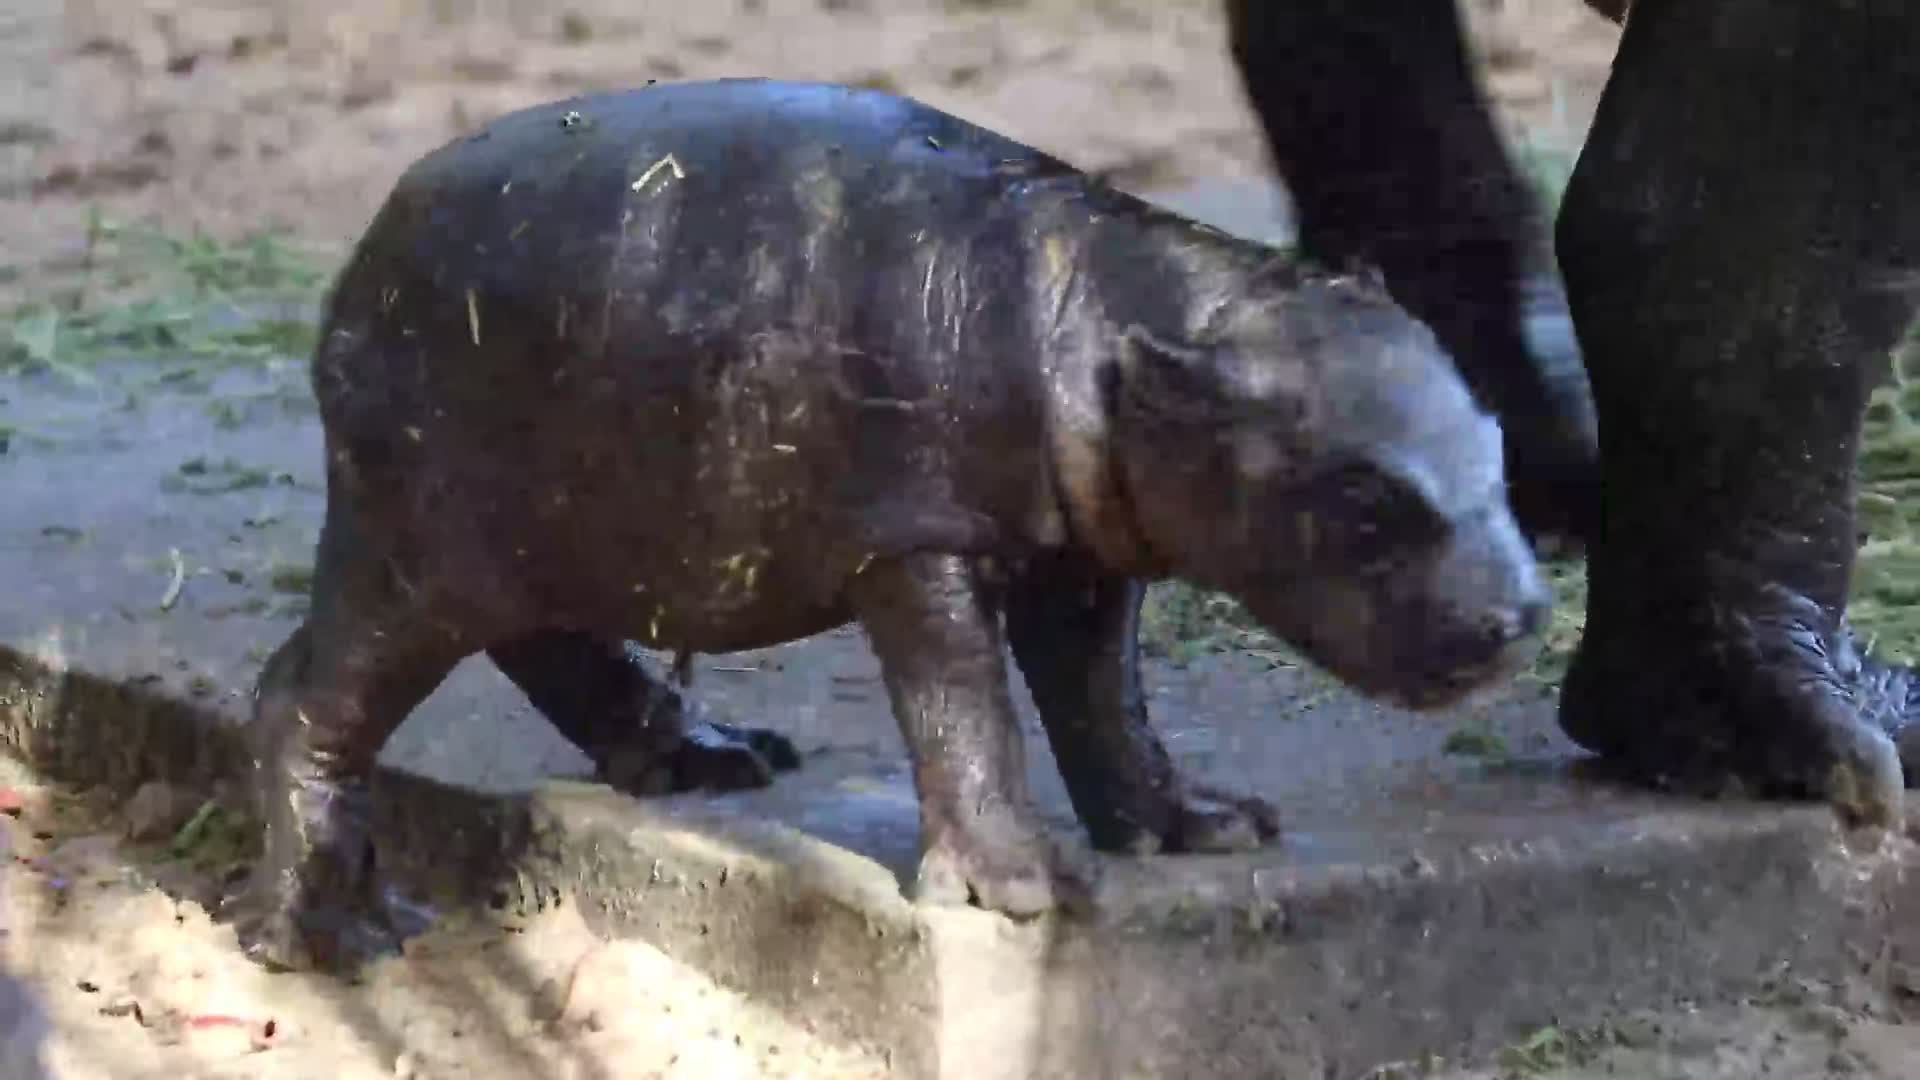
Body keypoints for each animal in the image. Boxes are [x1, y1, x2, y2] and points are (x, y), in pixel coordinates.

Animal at [220, 77, 1543, 968]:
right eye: (1363, 496)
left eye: (1499, 433)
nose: (1524, 614)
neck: (1121, 324)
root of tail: (364, 253)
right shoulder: (917, 540)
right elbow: (968, 707)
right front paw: (1030, 892)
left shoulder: (1080, 552)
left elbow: (1105, 705)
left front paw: (1207, 827)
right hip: (413, 540)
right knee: (305, 697)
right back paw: (341, 939)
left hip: (540, 531)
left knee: (547, 645)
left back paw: (715, 761)